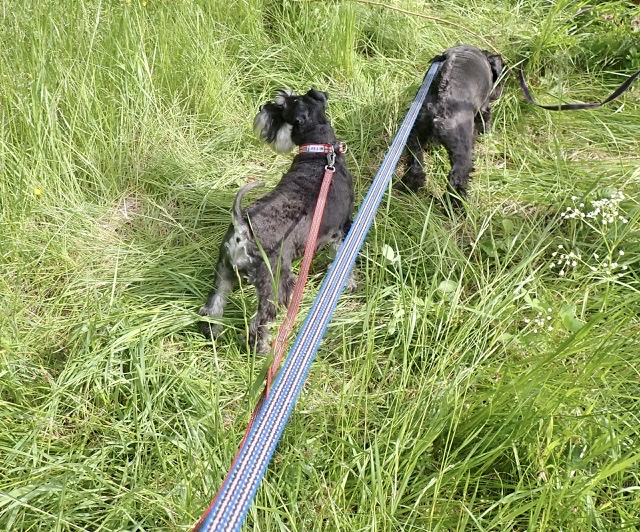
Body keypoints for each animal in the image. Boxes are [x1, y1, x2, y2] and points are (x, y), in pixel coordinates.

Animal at [199, 89, 355, 353]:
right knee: (260, 321)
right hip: (276, 283)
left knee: (214, 304)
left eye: (281, 106)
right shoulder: (342, 230)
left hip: (224, 272)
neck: (320, 153)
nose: (263, 108)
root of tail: (243, 229)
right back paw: (262, 348)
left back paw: (212, 332)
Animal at [398, 45, 504, 207]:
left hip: (414, 135)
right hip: (462, 151)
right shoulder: (483, 108)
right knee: (457, 178)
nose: (500, 91)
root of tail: (441, 99)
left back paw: (411, 185)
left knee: (416, 162)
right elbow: (485, 120)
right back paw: (456, 205)